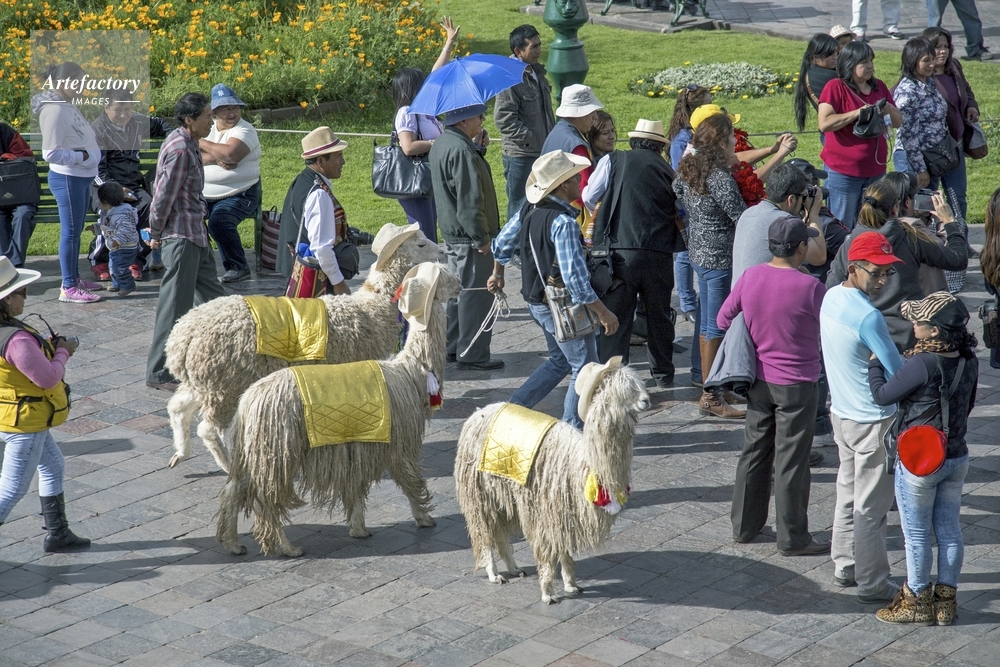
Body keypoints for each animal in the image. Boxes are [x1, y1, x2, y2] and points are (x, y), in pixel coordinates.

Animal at [165, 223, 443, 473]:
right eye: (421, 244)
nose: (442, 252)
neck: (371, 309)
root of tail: (182, 337)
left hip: (205, 380)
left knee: (177, 408)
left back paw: (180, 453)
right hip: (225, 383)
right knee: (209, 428)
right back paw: (229, 464)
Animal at [215, 262, 462, 557]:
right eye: (446, 276)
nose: (462, 285)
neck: (412, 371)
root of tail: (249, 400)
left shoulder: (357, 446)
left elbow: (355, 487)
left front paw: (358, 529)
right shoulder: (400, 442)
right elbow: (409, 480)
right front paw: (424, 518)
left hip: (252, 450)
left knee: (233, 490)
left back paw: (233, 544)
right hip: (277, 450)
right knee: (268, 499)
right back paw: (287, 548)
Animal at [455, 357, 650, 604]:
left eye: (640, 384)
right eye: (624, 389)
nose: (647, 400)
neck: (582, 465)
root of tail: (478, 413)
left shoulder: (563, 513)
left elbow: (565, 550)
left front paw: (571, 585)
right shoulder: (546, 511)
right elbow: (548, 553)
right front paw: (548, 593)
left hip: (501, 493)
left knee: (500, 534)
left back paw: (514, 569)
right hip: (479, 491)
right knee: (485, 531)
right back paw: (494, 574)